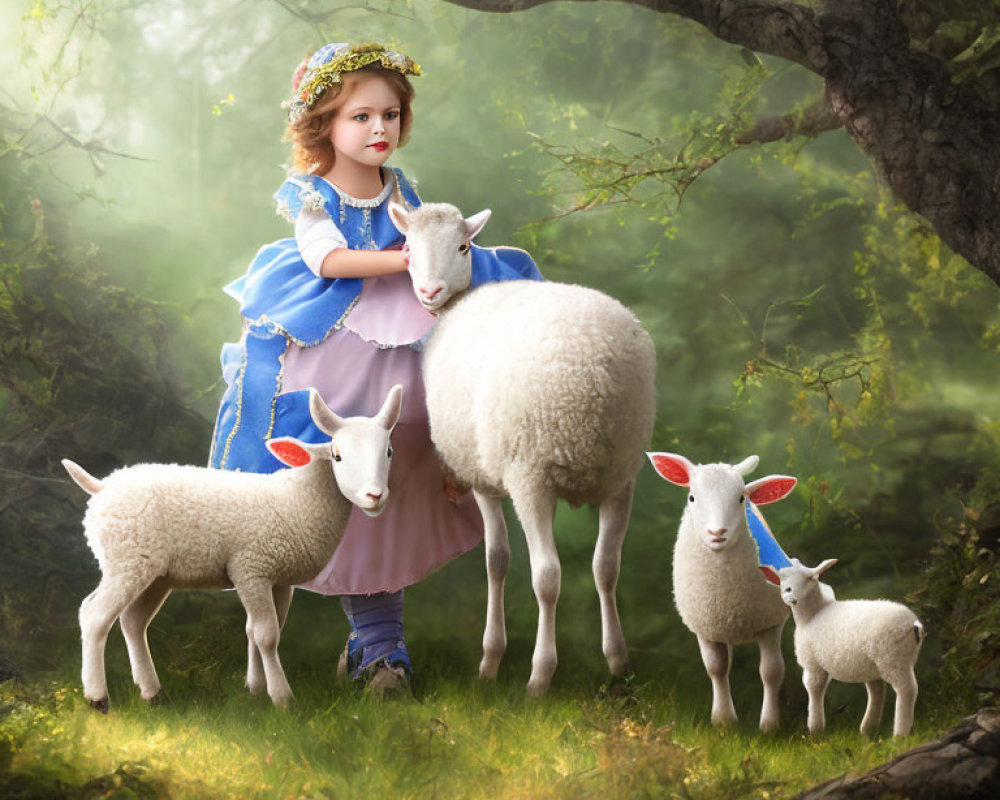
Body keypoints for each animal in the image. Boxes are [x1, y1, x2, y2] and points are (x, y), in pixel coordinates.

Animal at [62, 384, 402, 708]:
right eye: (337, 455)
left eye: (388, 451)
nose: (375, 496)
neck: (298, 498)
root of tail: (102, 486)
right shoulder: (251, 568)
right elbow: (267, 635)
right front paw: (282, 698)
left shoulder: (279, 579)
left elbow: (260, 630)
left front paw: (256, 689)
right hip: (126, 561)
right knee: (94, 615)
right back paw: (98, 697)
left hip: (154, 573)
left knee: (133, 623)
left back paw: (152, 693)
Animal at [388, 203, 656, 696]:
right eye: (407, 248)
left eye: (463, 246)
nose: (429, 291)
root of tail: (593, 373)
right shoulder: (611, 483)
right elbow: (602, 568)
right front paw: (618, 664)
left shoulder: (486, 479)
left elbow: (499, 562)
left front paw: (493, 661)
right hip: (618, 472)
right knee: (604, 566)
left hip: (533, 471)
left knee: (547, 575)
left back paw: (539, 675)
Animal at [648, 450, 796, 732]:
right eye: (692, 497)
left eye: (740, 498)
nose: (717, 532)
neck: (724, 590)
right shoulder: (706, 625)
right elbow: (716, 668)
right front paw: (724, 721)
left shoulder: (770, 624)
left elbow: (771, 672)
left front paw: (769, 725)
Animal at [776, 556, 924, 736]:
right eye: (783, 578)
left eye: (810, 578)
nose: (789, 592)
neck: (813, 614)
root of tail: (914, 624)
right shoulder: (871, 672)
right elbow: (876, 692)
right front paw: (868, 729)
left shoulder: (813, 665)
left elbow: (814, 690)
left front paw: (815, 730)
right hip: (891, 661)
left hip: (893, 659)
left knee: (907, 690)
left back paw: (900, 734)